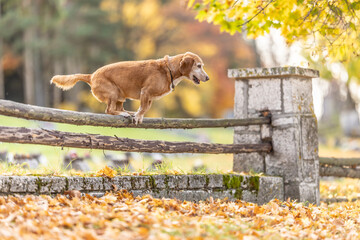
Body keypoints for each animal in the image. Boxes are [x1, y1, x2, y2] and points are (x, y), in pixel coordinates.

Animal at [50, 52, 208, 124]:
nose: (208, 78)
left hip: (121, 96)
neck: (169, 70)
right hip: (113, 93)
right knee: (109, 110)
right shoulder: (146, 92)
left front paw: (138, 115)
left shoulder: (149, 98)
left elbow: (145, 108)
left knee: (118, 108)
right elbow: (143, 108)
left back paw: (128, 112)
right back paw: (124, 114)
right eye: (199, 66)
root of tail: (91, 75)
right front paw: (138, 117)